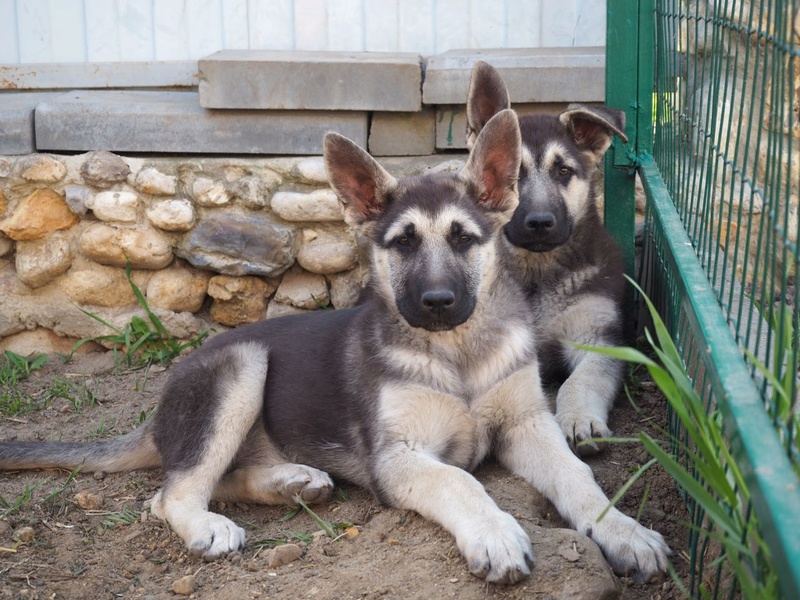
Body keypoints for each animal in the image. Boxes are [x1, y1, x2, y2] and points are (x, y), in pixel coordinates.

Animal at [0, 110, 668, 584]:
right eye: (402, 243)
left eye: (464, 238)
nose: (437, 301)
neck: (457, 353)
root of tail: (158, 414)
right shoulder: (397, 457)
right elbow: (462, 483)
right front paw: (495, 533)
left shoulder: (529, 422)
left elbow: (579, 476)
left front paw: (624, 531)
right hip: (240, 366)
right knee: (169, 494)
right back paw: (211, 526)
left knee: (207, 478)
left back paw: (291, 482)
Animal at [468, 61, 632, 454]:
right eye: (513, 175)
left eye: (563, 171)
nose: (540, 222)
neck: (536, 275)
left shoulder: (600, 336)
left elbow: (581, 380)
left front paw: (579, 418)